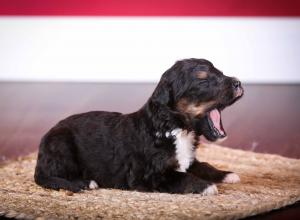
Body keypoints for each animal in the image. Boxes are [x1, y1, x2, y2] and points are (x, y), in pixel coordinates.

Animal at [34, 58, 244, 194]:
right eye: (203, 79)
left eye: (220, 72)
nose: (238, 83)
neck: (175, 129)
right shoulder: (149, 175)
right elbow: (179, 177)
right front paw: (206, 186)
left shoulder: (187, 160)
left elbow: (204, 165)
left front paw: (227, 175)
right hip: (61, 145)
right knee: (49, 177)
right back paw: (85, 183)